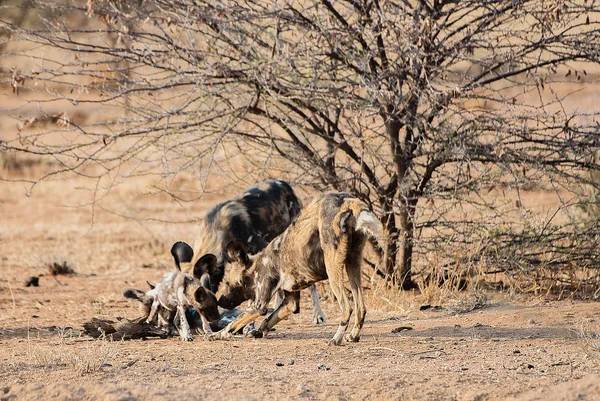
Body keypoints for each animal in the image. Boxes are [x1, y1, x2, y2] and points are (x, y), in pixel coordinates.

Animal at [188, 180, 328, 324]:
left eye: (200, 297)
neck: (218, 229)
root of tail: (283, 183)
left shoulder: (260, 251)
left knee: (310, 285)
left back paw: (317, 314)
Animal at [211, 192, 380, 346]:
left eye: (227, 283)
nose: (219, 301)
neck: (257, 266)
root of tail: (348, 201)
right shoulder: (290, 303)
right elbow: (268, 320)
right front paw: (258, 332)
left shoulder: (258, 306)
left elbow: (233, 324)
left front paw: (217, 335)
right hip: (353, 264)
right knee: (361, 308)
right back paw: (353, 336)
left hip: (333, 270)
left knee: (347, 308)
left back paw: (336, 339)